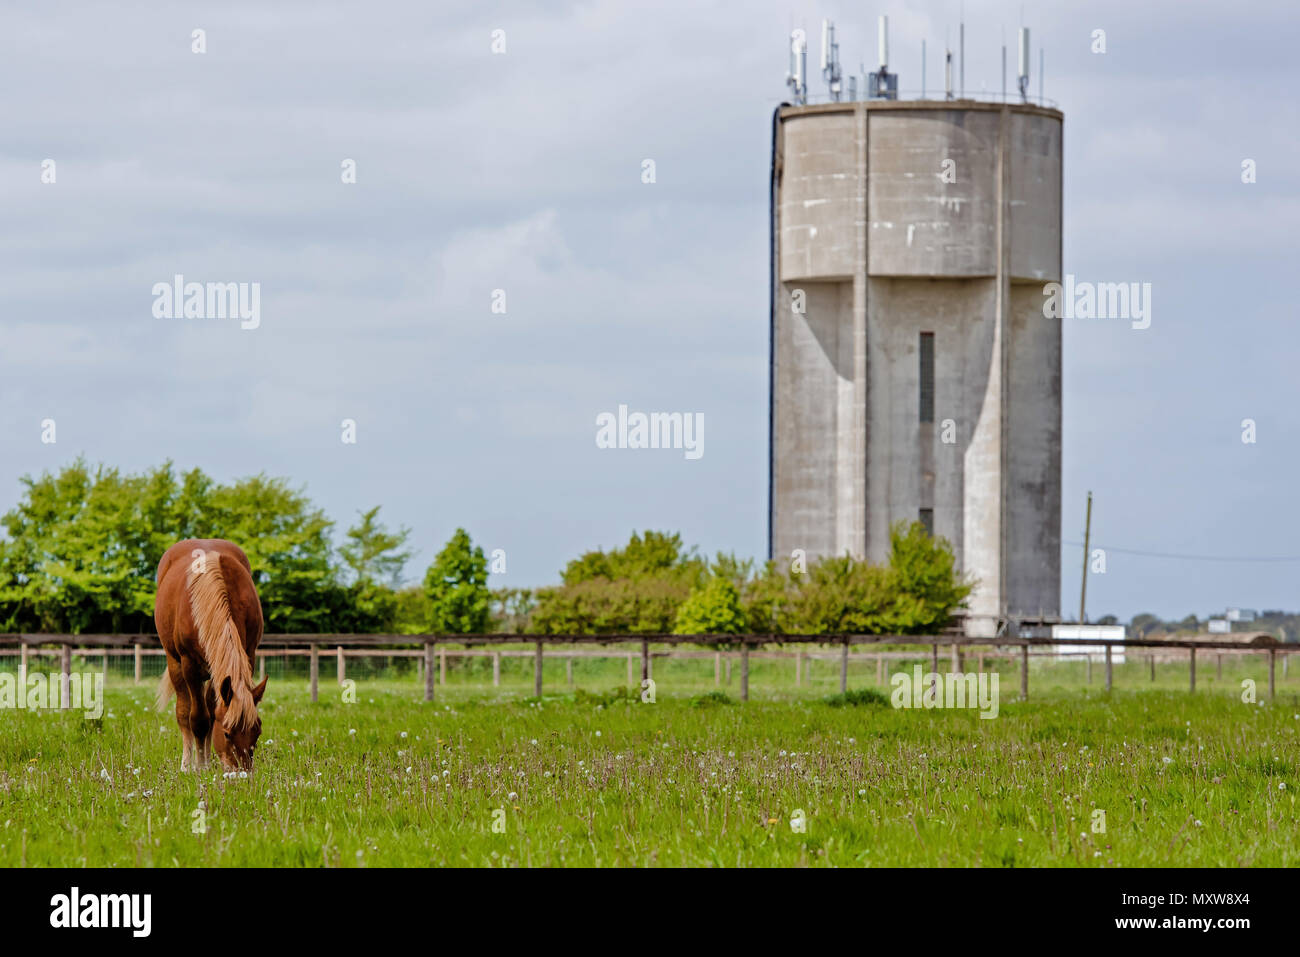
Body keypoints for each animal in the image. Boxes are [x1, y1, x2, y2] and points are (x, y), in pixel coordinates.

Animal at [154, 538, 267, 771]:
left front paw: (205, 761)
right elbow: (199, 719)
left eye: (257, 732)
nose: (242, 773)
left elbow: (212, 712)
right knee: (184, 712)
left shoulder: (246, 656)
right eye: (227, 733)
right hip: (175, 663)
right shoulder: (190, 666)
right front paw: (200, 767)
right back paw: (188, 763)